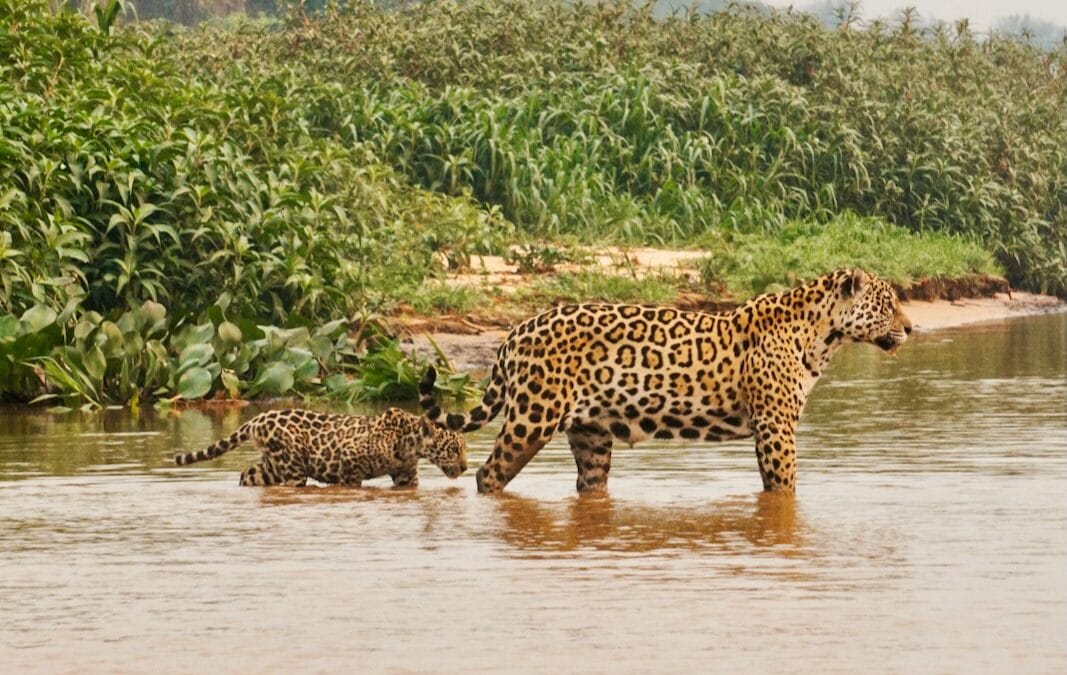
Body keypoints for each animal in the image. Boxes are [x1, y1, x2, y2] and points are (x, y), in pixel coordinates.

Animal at [173, 407, 467, 487]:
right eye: (453, 450)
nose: (465, 467)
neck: (410, 443)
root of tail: (258, 417)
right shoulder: (350, 465)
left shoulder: (407, 476)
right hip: (292, 468)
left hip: (272, 466)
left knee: (248, 474)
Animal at [420, 268, 911, 494]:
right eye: (888, 304)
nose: (911, 328)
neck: (823, 335)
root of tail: (514, 332)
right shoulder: (775, 427)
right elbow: (783, 485)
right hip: (532, 418)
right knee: (488, 473)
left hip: (591, 433)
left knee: (589, 485)